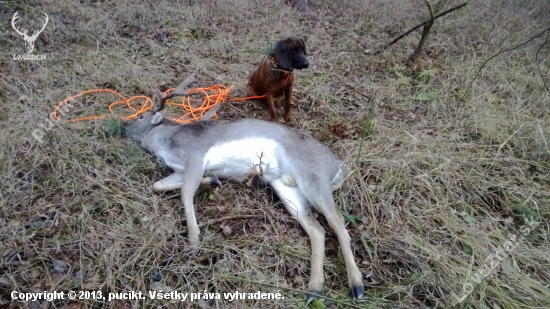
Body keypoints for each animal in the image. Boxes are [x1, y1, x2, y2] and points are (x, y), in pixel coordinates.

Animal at [125, 74, 366, 300]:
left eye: (140, 115)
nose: (123, 127)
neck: (168, 142)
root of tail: (338, 167)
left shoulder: (196, 155)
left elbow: (186, 192)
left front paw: (194, 240)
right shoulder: (181, 169)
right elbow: (157, 185)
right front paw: (212, 182)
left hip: (313, 176)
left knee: (338, 222)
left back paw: (356, 286)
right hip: (286, 188)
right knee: (317, 230)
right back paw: (314, 289)